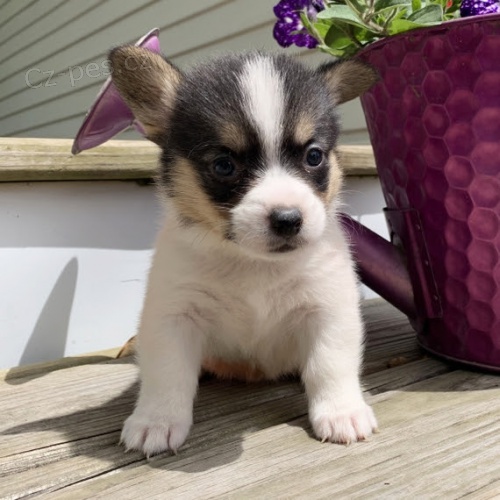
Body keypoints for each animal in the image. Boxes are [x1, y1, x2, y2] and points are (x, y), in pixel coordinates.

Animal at [108, 47, 376, 458]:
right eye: (224, 165)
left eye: (314, 156)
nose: (288, 219)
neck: (253, 265)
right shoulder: (173, 316)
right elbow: (167, 373)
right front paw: (157, 420)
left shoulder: (329, 310)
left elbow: (330, 364)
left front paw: (341, 411)